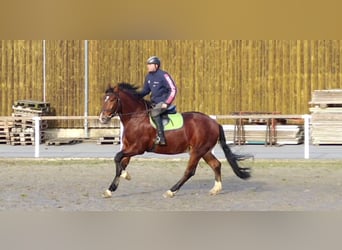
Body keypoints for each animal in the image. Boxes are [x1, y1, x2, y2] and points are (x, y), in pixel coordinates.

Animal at [99, 83, 251, 198]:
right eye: (104, 99)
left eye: (112, 100)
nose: (102, 118)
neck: (136, 118)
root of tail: (214, 123)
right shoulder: (128, 147)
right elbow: (121, 162)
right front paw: (111, 188)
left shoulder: (137, 148)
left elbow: (117, 157)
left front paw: (125, 176)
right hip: (205, 151)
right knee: (216, 164)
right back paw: (216, 189)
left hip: (197, 151)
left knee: (190, 171)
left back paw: (171, 191)